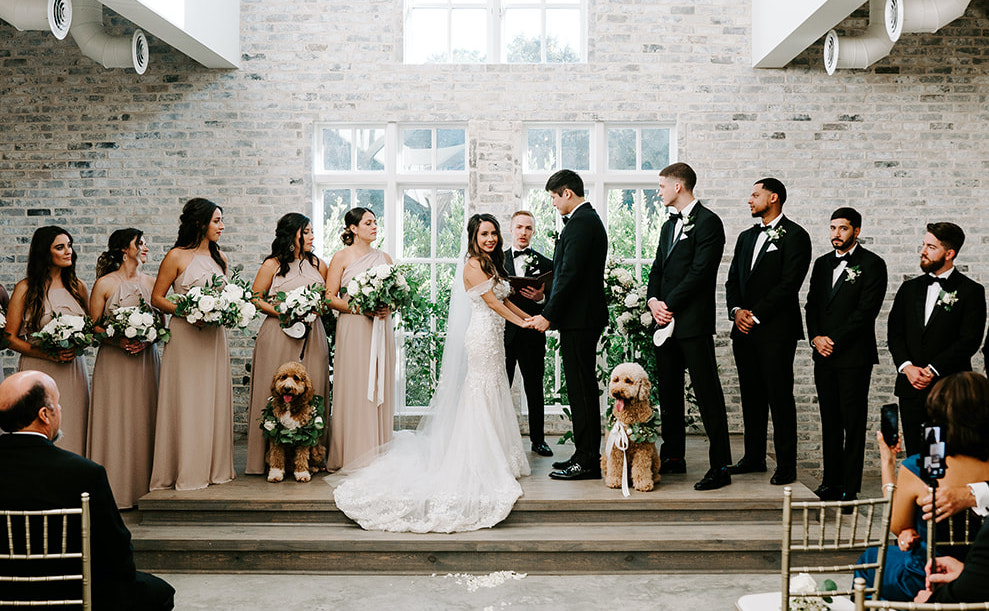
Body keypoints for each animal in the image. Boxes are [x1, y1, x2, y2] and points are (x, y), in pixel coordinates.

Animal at [600, 364, 660, 492]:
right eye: (616, 380)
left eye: (628, 381)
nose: (615, 392)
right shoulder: (616, 448)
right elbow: (615, 465)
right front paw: (614, 481)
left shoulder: (643, 449)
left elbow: (641, 467)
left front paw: (643, 483)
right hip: (604, 458)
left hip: (655, 457)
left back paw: (655, 478)